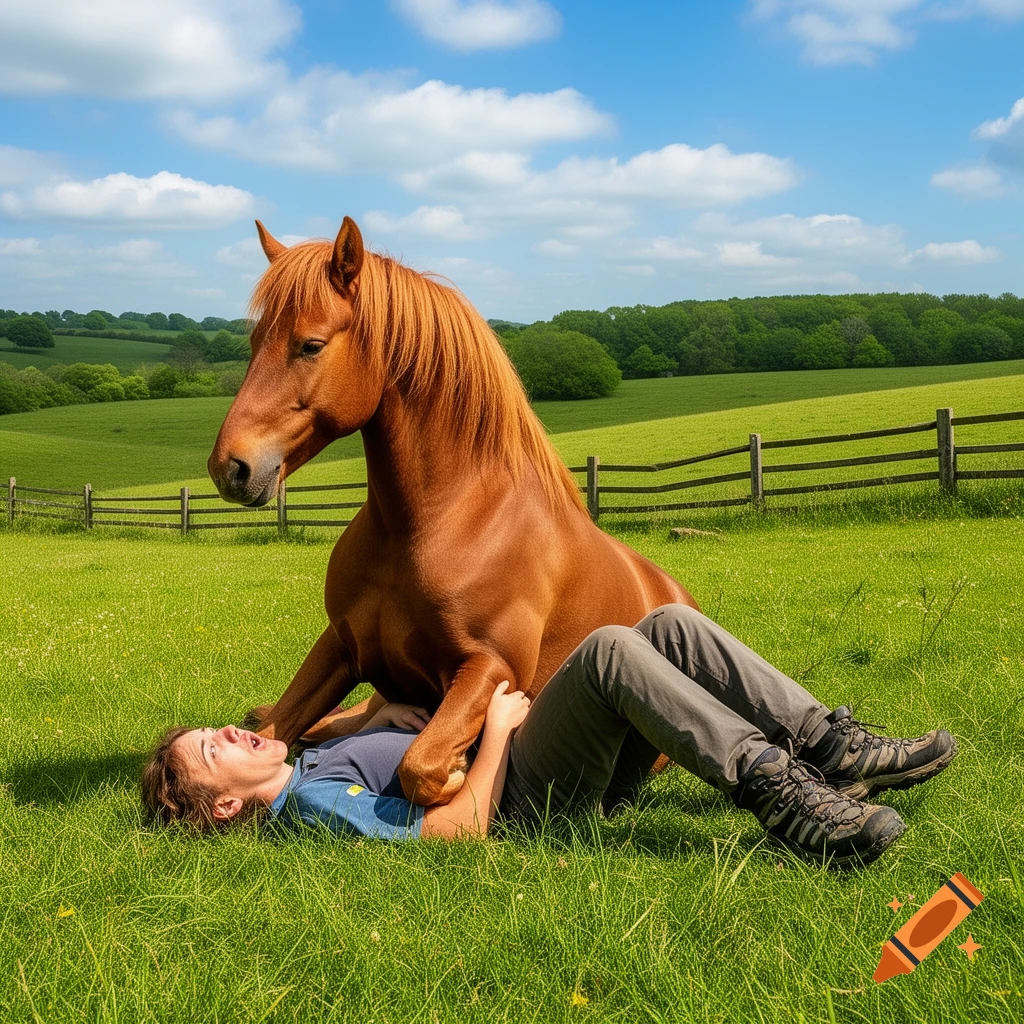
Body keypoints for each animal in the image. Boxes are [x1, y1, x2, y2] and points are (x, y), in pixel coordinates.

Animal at [208, 217, 697, 806]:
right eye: (255, 341)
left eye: (311, 344)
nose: (229, 467)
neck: (441, 522)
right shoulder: (340, 645)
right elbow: (278, 725)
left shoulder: (490, 666)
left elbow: (419, 765)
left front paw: (462, 768)